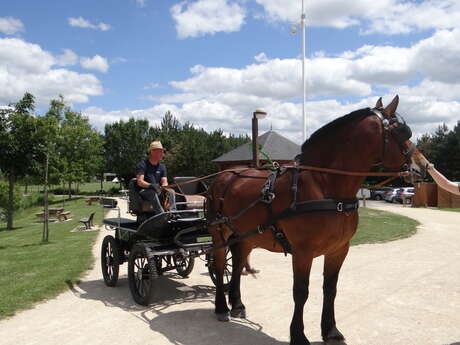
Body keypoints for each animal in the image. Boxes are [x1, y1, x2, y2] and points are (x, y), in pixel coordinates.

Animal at [207, 95, 426, 344]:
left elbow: (330, 288)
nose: (423, 167)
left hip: (245, 235)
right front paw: (298, 335)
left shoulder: (339, 249)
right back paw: (222, 308)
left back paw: (237, 304)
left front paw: (330, 330)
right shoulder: (303, 251)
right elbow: (301, 292)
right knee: (221, 264)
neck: (327, 188)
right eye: (401, 132)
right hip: (219, 234)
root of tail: (223, 175)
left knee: (237, 264)